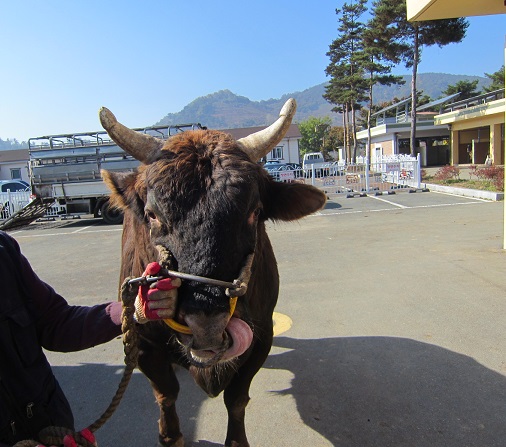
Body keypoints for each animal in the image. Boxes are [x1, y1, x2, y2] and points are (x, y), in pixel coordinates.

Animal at [101, 100, 326, 446]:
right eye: (152, 214)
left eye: (254, 212)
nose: (205, 324)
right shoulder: (143, 341)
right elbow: (166, 394)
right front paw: (170, 434)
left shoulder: (263, 335)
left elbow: (236, 398)